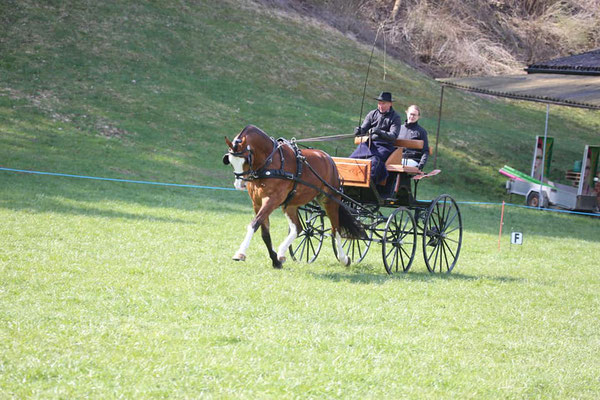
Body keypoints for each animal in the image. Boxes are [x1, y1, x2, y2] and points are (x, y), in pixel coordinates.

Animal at [224, 125, 364, 268]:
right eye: (230, 161)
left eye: (247, 160)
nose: (239, 184)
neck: (270, 163)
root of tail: (328, 158)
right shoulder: (257, 203)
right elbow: (265, 233)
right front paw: (275, 260)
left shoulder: (272, 200)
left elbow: (254, 224)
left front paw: (240, 253)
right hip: (290, 204)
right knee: (298, 227)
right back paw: (281, 252)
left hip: (330, 200)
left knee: (336, 230)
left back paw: (343, 258)